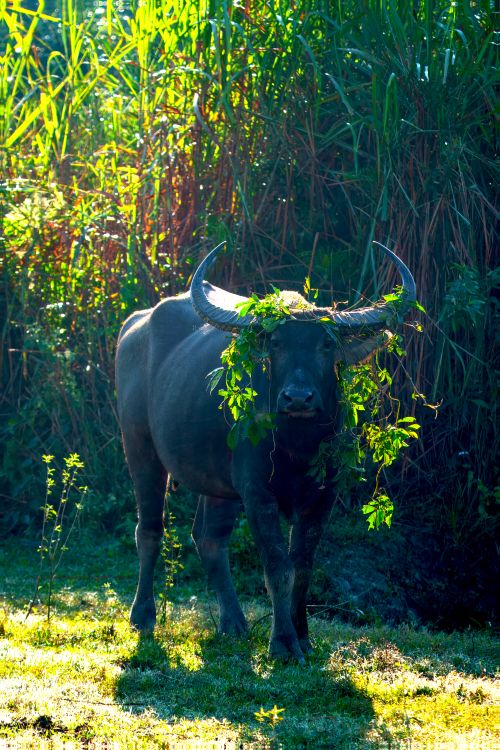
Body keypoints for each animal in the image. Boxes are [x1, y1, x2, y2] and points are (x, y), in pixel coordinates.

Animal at [116, 242, 415, 661]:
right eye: (277, 344)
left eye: (326, 344)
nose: (298, 397)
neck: (297, 444)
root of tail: (134, 327)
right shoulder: (258, 492)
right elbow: (277, 567)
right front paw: (283, 643)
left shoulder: (323, 495)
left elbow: (302, 566)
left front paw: (303, 636)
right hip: (139, 448)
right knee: (150, 530)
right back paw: (143, 615)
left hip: (217, 482)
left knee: (209, 538)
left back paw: (233, 622)